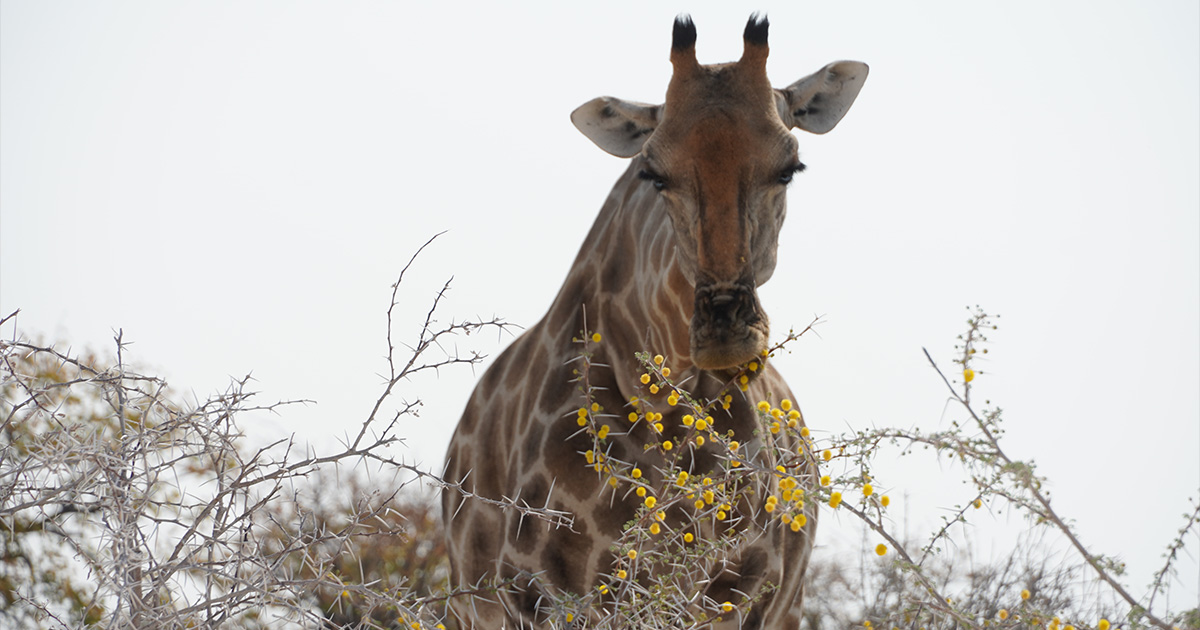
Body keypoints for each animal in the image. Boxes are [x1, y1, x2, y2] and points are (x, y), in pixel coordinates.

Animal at [441, 15, 864, 628]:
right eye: (653, 173)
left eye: (790, 167)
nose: (724, 333)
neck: (664, 395)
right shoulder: (537, 591)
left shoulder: (737, 591)